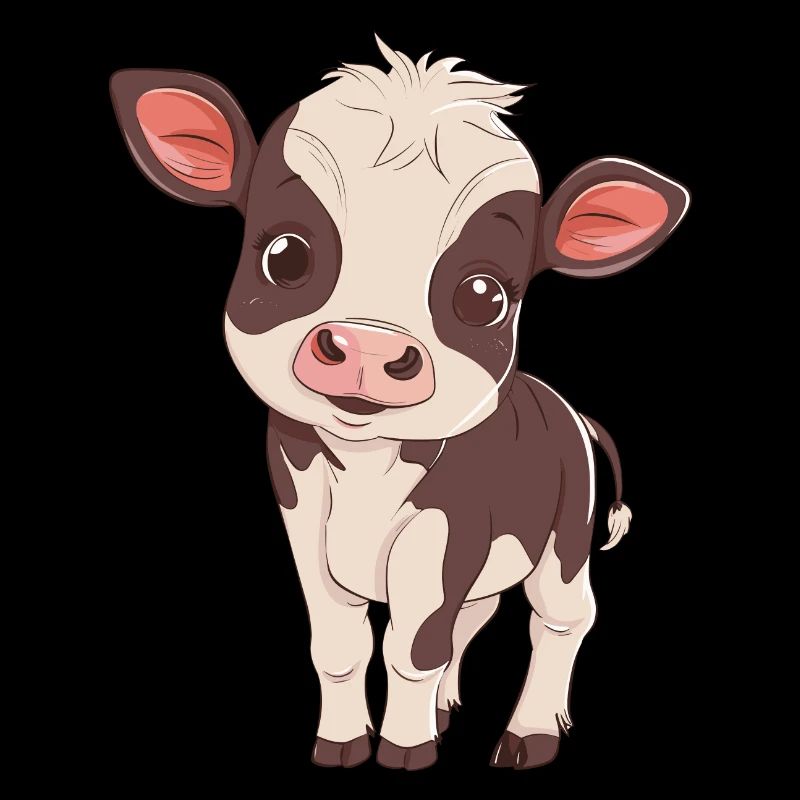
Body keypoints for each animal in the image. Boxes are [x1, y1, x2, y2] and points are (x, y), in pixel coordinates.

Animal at [110, 37, 689, 771]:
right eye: (286, 255)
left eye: (483, 295)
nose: (367, 345)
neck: (365, 469)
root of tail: (567, 407)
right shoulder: (303, 516)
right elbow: (341, 648)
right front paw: (343, 742)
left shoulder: (446, 531)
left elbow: (413, 649)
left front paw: (406, 750)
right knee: (474, 618)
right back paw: (446, 712)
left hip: (565, 538)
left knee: (561, 617)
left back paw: (528, 735)